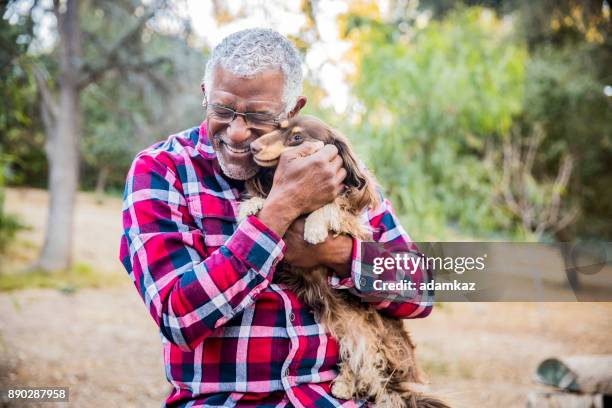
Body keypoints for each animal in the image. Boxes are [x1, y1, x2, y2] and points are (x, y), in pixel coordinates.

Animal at [237, 115, 448, 408]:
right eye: (278, 127)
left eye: (297, 138)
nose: (254, 147)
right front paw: (252, 205)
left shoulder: (353, 224)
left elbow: (333, 207)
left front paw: (314, 226)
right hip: (347, 329)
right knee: (360, 363)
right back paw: (344, 386)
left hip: (374, 338)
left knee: (371, 366)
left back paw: (347, 385)